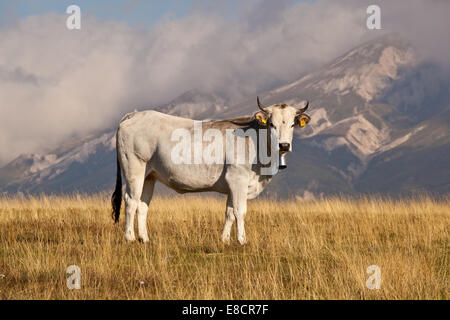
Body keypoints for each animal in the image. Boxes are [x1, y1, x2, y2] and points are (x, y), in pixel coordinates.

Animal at [111, 97, 310, 245]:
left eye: (292, 125)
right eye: (271, 124)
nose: (284, 145)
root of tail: (136, 114)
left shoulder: (232, 185)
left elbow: (229, 212)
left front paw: (225, 240)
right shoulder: (238, 179)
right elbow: (240, 211)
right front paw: (242, 240)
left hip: (149, 175)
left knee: (143, 205)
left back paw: (144, 238)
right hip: (134, 168)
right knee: (131, 201)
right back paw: (129, 238)